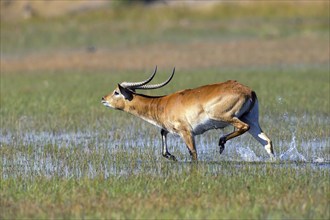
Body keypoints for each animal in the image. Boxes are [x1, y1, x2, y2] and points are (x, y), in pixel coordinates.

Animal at [102, 67, 274, 162]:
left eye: (116, 92)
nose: (103, 98)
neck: (162, 103)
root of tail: (248, 90)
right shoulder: (170, 129)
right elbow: (163, 133)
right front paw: (171, 156)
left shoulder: (187, 132)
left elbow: (193, 154)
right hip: (252, 120)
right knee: (267, 142)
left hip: (225, 116)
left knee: (244, 127)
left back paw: (221, 143)